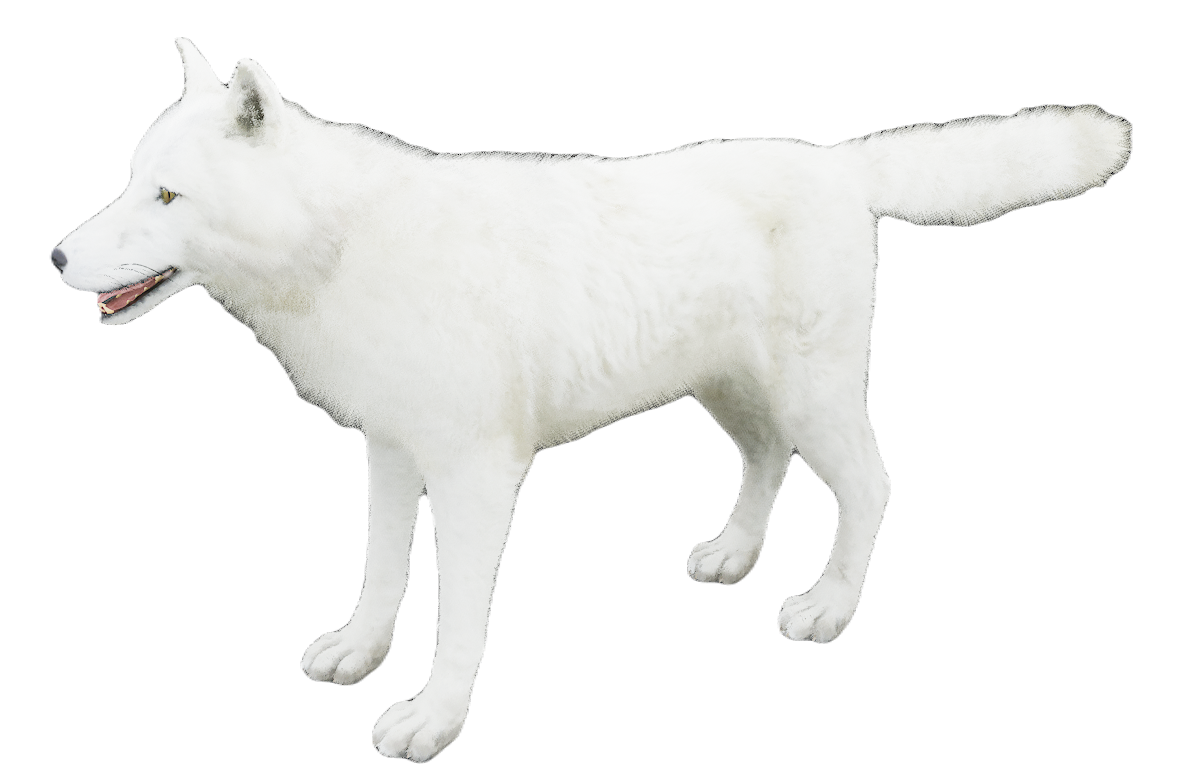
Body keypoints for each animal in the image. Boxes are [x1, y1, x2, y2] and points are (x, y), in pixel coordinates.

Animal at [50, 38, 1131, 762]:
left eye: (166, 198)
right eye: (131, 182)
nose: (56, 259)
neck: (345, 248)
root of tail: (835, 158)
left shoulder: (478, 475)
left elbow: (456, 611)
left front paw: (433, 718)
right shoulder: (391, 451)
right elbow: (382, 573)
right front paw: (359, 652)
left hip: (815, 400)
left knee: (872, 487)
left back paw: (826, 606)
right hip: (731, 396)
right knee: (766, 462)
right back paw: (733, 557)